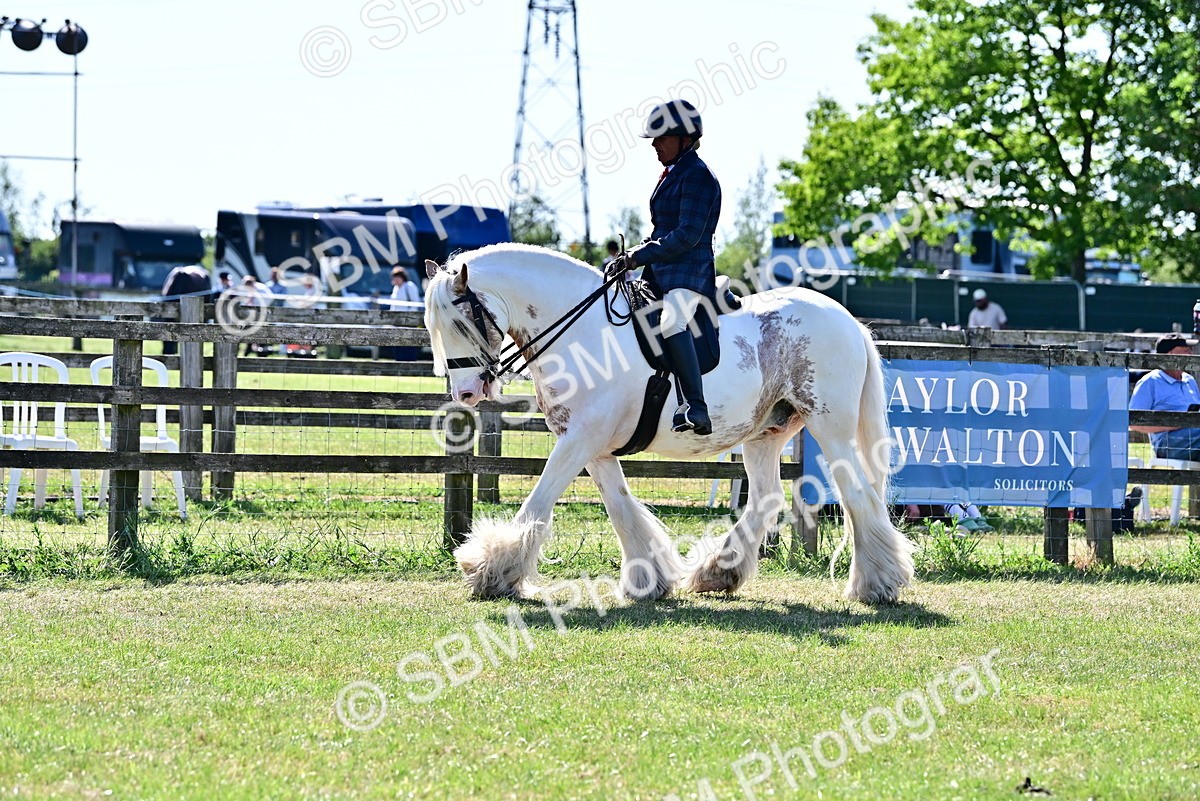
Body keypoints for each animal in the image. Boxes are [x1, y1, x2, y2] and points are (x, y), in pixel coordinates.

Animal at [424, 243, 914, 604]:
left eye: (462, 322)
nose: (465, 394)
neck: (583, 332)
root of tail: (847, 319)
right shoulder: (592, 446)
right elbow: (621, 509)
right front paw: (649, 579)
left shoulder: (580, 439)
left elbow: (539, 502)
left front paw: (493, 569)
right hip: (766, 432)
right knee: (767, 498)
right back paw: (718, 572)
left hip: (830, 427)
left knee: (857, 494)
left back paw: (877, 583)